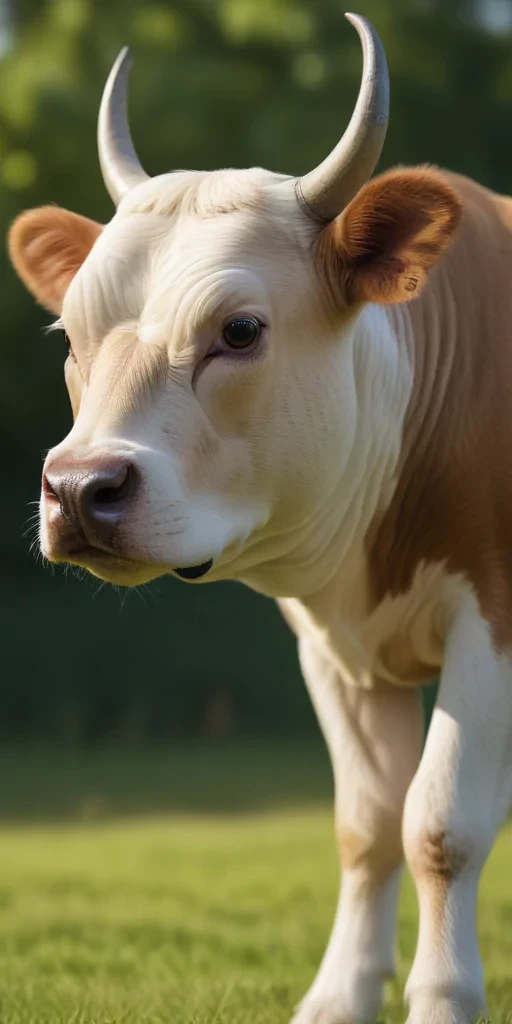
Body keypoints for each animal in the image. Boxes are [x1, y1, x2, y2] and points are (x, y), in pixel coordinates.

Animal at [7, 12, 512, 1023]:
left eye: (238, 331)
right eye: (70, 337)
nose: (80, 488)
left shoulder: (494, 615)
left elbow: (440, 824)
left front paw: (442, 997)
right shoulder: (330, 645)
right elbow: (367, 823)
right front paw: (340, 996)